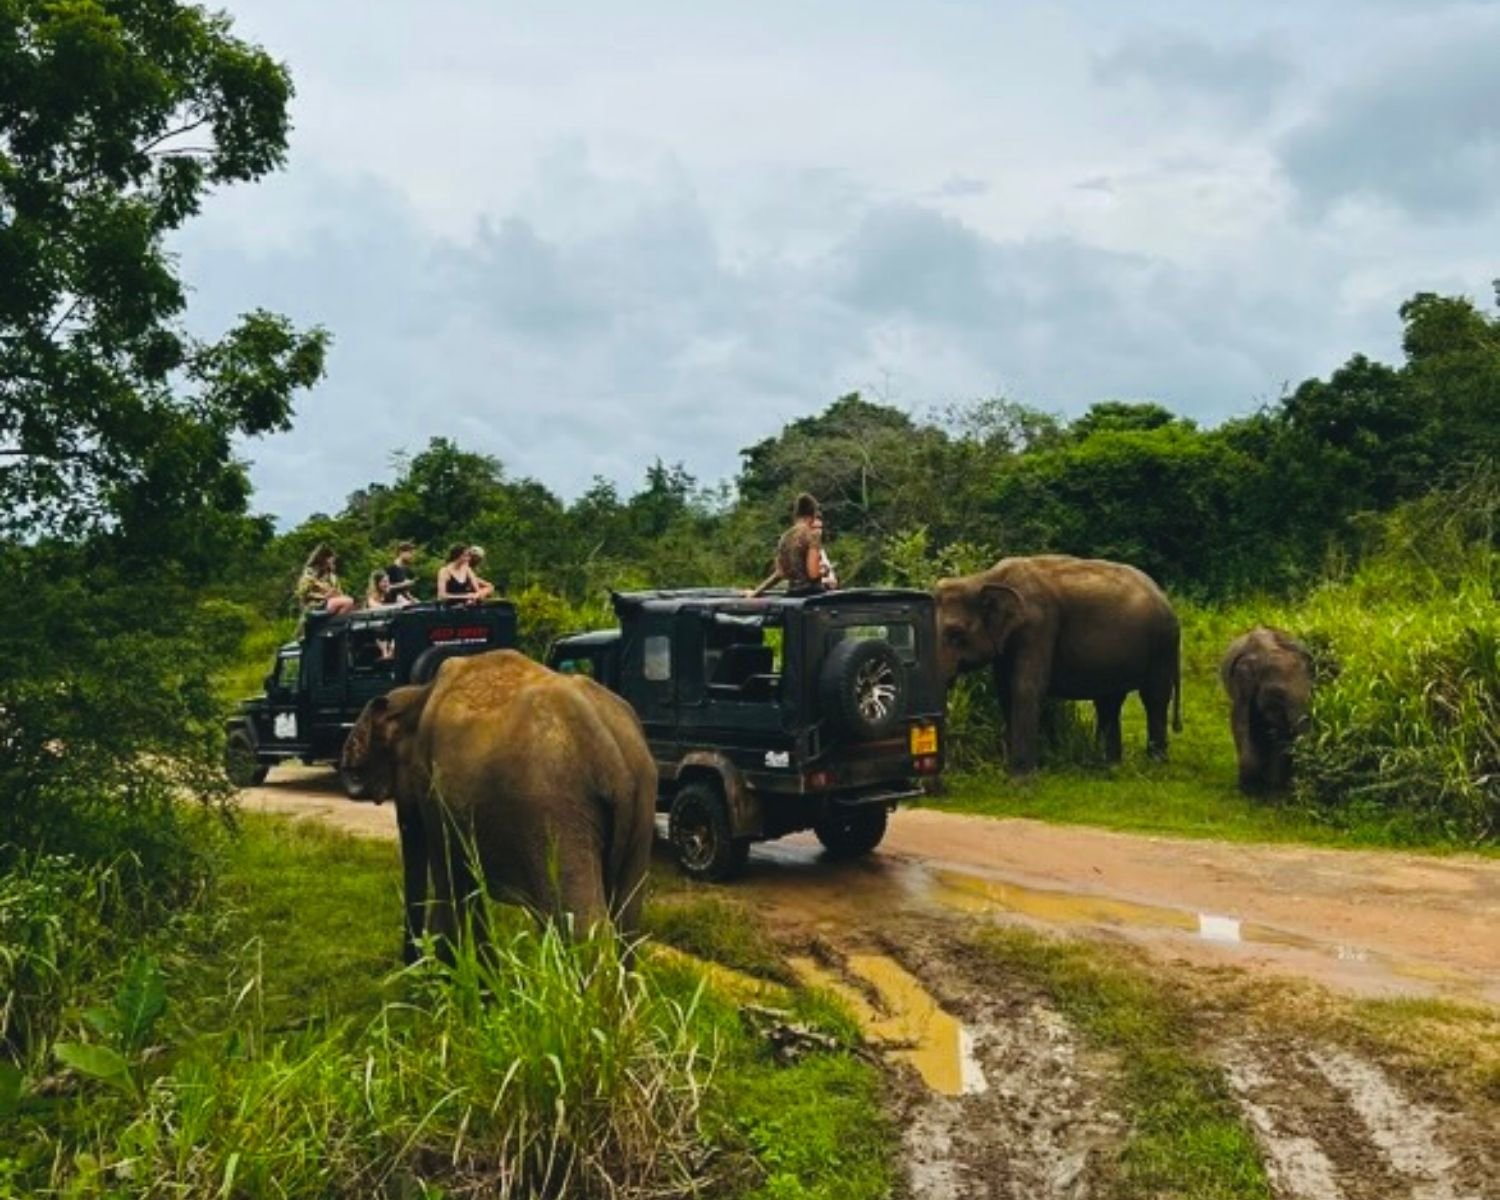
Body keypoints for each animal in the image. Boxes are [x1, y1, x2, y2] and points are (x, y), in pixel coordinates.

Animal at [341, 649, 657, 963]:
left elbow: (451, 886)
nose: (410, 961)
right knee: (627, 923)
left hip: (558, 813)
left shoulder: (432, 789)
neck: (417, 695)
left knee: (581, 928)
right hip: (640, 806)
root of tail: (613, 755)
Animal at [934, 555, 1181, 772]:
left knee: (1154, 698)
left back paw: (1155, 765)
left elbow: (1026, 688)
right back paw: (1108, 766)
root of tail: (1164, 596)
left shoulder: (1039, 624)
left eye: (956, 634)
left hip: (1162, 646)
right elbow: (1005, 691)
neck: (985, 578)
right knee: (1109, 702)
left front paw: (1021, 781)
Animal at [1220, 626, 1312, 794]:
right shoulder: (1242, 686)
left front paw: (1272, 791)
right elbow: (1239, 722)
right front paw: (1248, 790)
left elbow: (1280, 736)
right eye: (1277, 694)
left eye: (1311, 693)